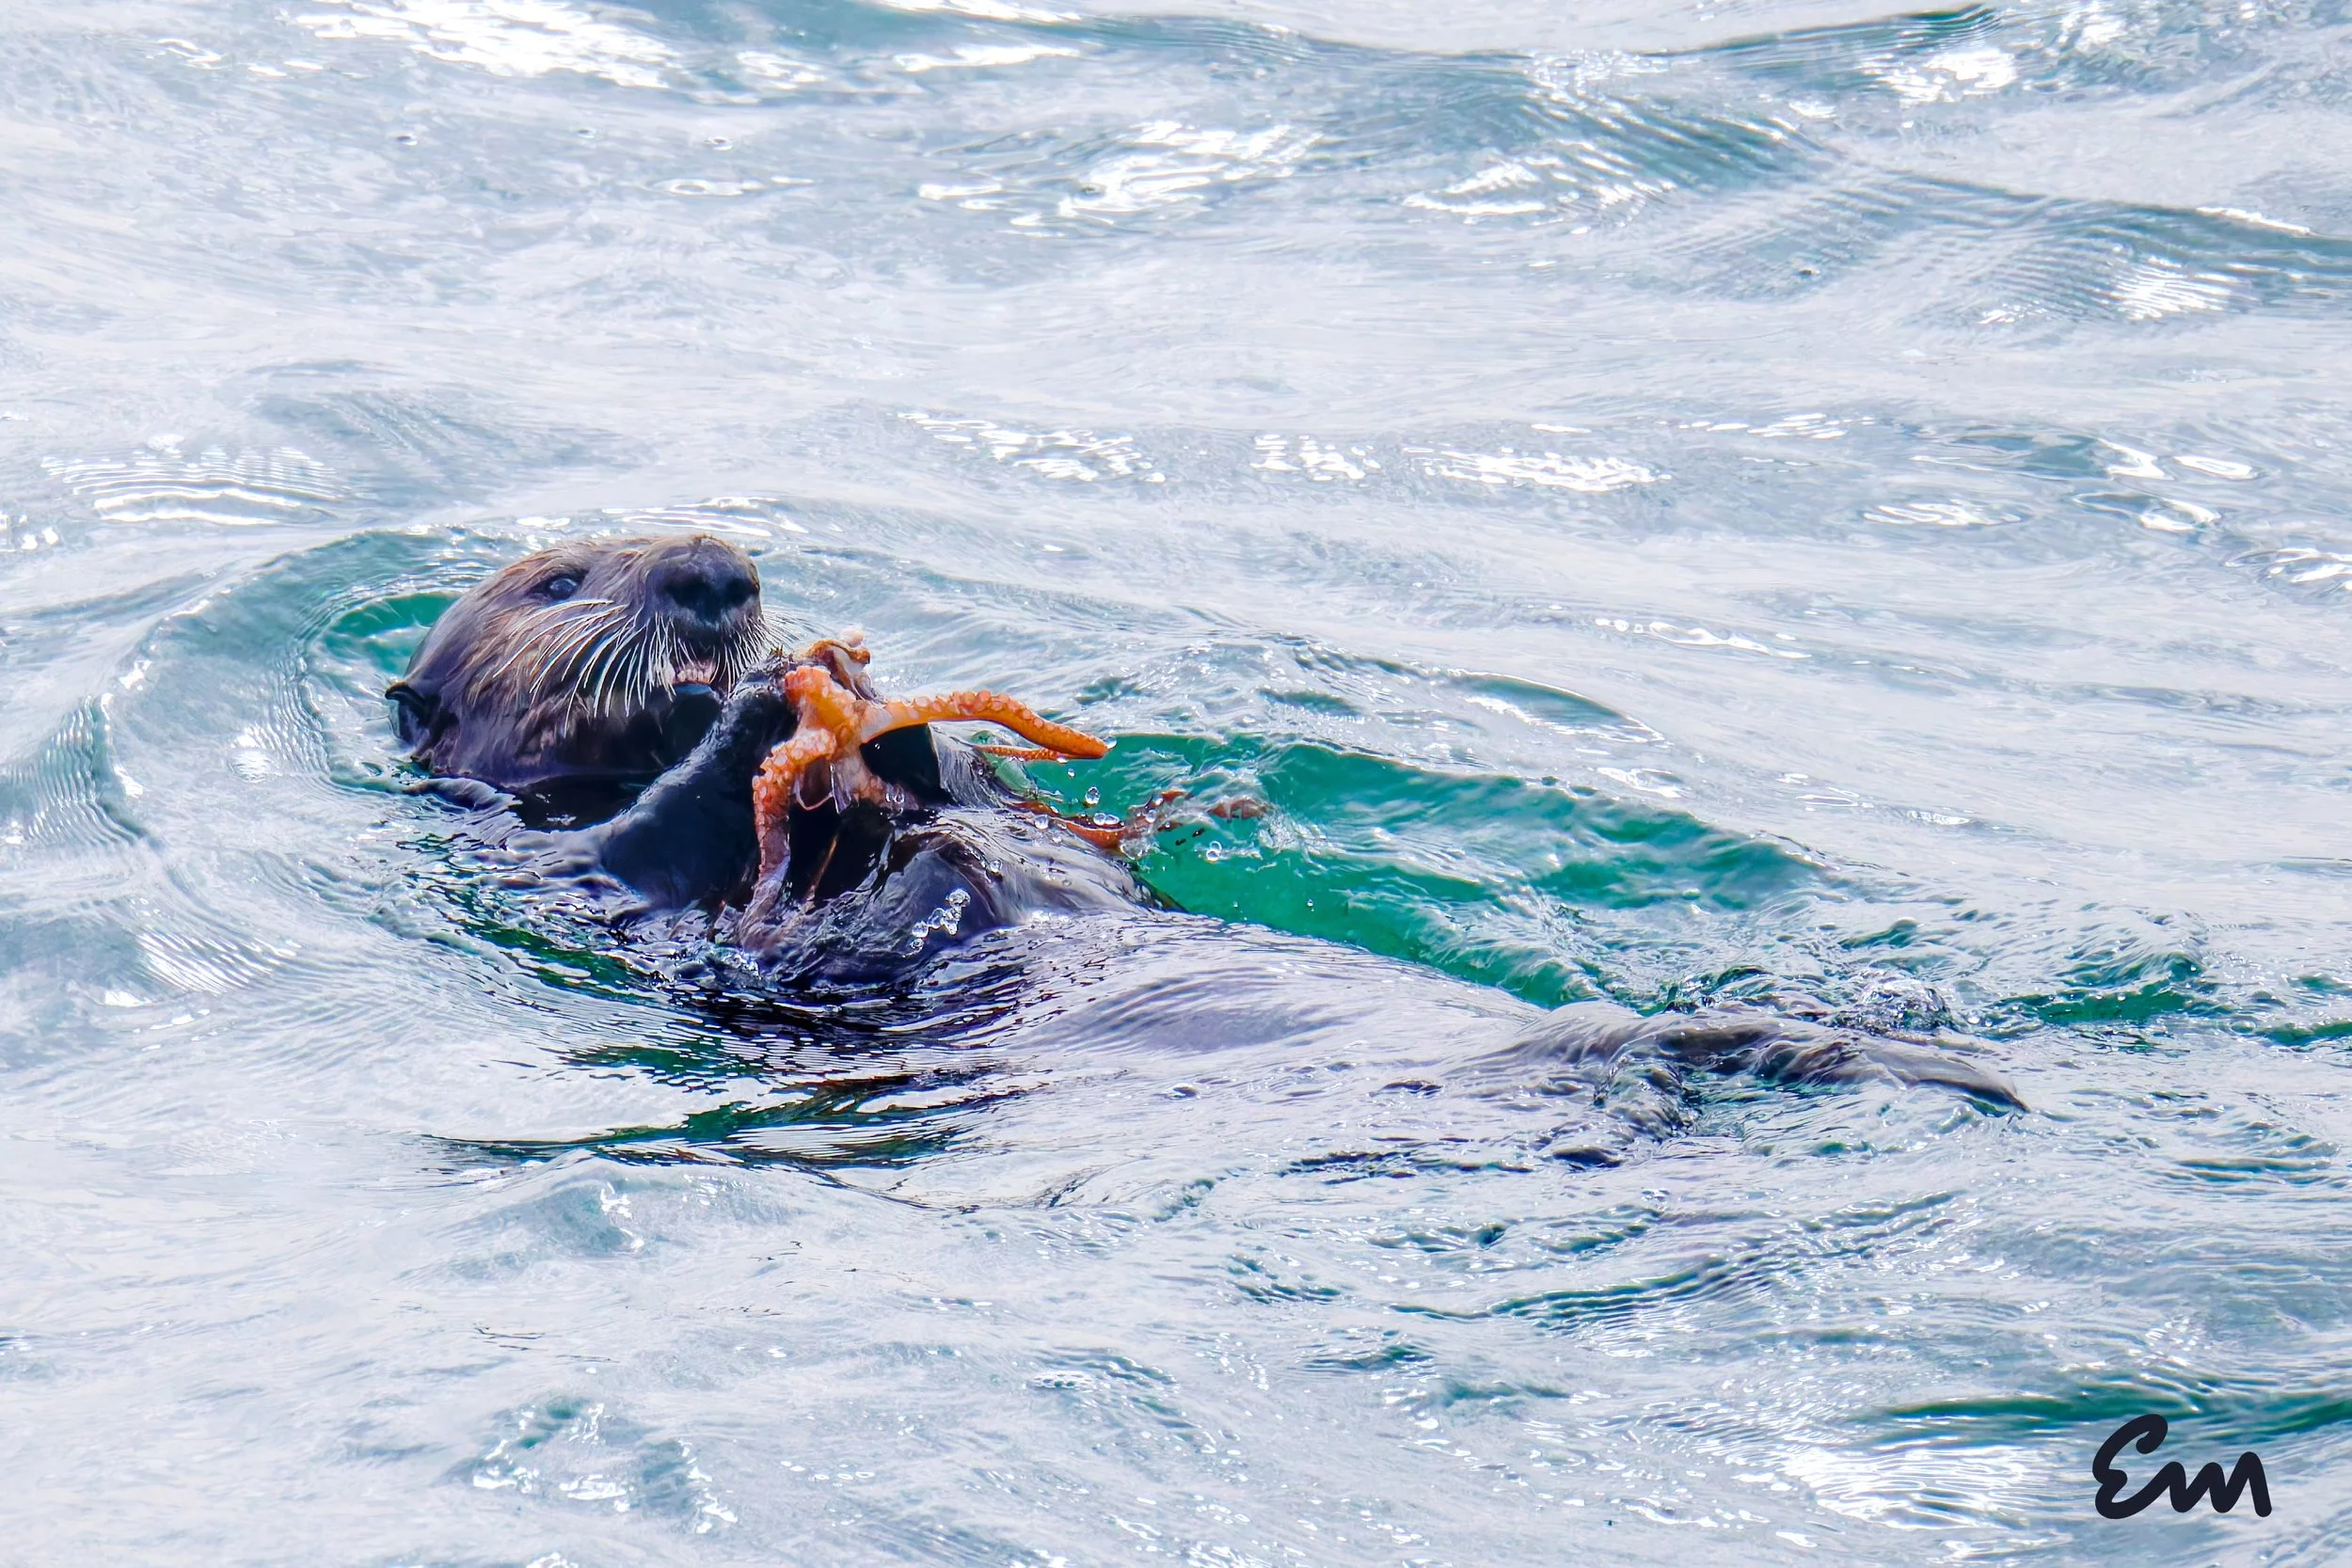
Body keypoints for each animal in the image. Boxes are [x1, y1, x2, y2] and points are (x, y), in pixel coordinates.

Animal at [390, 536, 2022, 1109]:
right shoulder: (562, 874)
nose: (717, 576)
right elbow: (649, 856)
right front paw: (762, 714)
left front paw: (891, 718)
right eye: (561, 583)